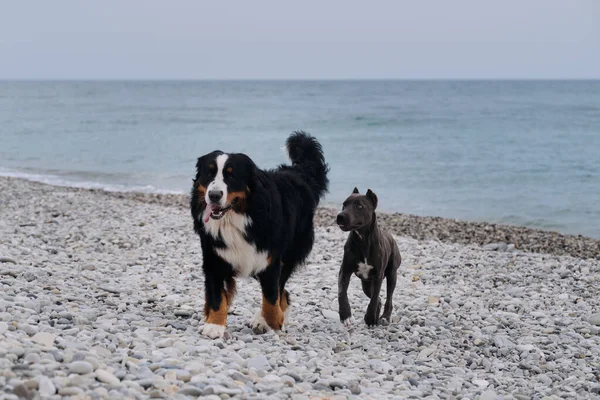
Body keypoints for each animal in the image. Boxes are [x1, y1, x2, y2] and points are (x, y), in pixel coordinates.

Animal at [190, 131, 328, 338]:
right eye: (209, 173)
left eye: (231, 176)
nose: (214, 195)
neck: (235, 218)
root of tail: (297, 173)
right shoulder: (214, 258)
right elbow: (217, 294)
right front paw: (214, 324)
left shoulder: (270, 260)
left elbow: (271, 298)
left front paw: (273, 321)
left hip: (289, 254)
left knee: (282, 292)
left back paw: (263, 319)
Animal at [336, 189, 400, 326]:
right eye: (344, 204)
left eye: (359, 206)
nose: (340, 216)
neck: (362, 240)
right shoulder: (344, 271)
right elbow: (342, 293)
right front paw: (345, 315)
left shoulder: (378, 276)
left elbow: (374, 298)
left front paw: (370, 318)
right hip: (365, 284)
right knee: (380, 299)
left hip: (392, 274)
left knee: (388, 298)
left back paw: (384, 317)